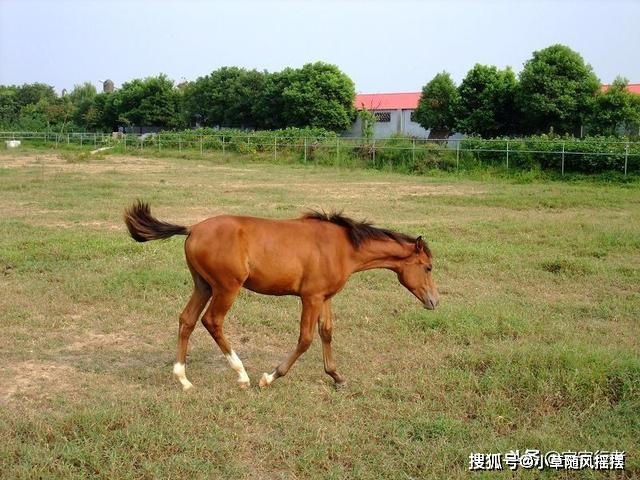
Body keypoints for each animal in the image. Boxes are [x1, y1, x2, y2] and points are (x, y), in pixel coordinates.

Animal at [122, 202, 438, 390]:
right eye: (428, 267)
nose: (434, 301)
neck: (342, 247)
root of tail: (193, 229)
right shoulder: (310, 298)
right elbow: (306, 339)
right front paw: (270, 377)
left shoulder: (324, 297)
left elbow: (326, 332)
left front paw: (337, 376)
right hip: (226, 288)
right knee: (212, 321)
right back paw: (242, 375)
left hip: (203, 285)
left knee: (186, 320)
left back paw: (184, 379)